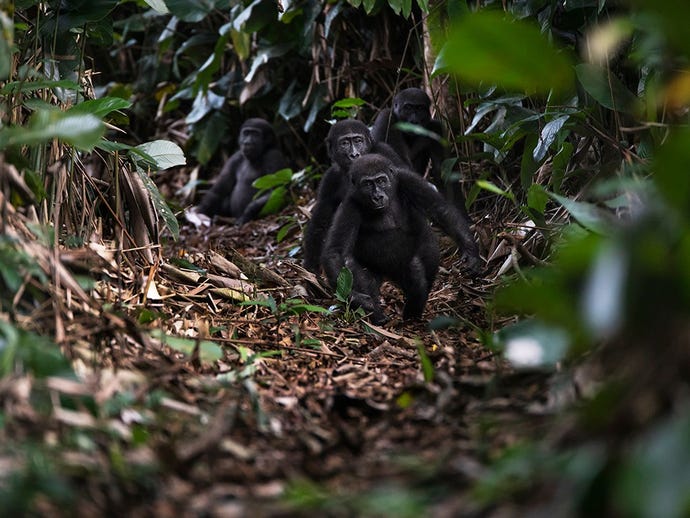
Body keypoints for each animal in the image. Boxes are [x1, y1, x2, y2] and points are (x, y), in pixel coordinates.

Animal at [300, 119, 404, 274]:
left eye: (358, 140)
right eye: (344, 143)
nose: (354, 154)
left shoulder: (385, 151)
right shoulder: (329, 180)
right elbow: (320, 221)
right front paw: (310, 268)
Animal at [322, 154, 478, 324]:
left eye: (381, 181)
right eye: (368, 184)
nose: (377, 196)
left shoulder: (407, 179)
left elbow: (440, 209)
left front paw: (470, 251)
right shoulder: (350, 206)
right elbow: (336, 252)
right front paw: (356, 297)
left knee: (424, 257)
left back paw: (412, 314)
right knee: (354, 266)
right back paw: (380, 317)